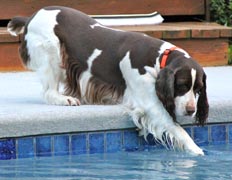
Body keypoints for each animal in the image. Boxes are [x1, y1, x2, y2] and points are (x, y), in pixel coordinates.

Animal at [8, 5, 209, 155]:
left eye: (198, 89)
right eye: (181, 86)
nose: (191, 110)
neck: (159, 57)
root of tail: (31, 17)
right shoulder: (150, 102)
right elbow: (177, 128)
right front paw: (198, 152)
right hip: (52, 51)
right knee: (49, 92)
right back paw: (66, 99)